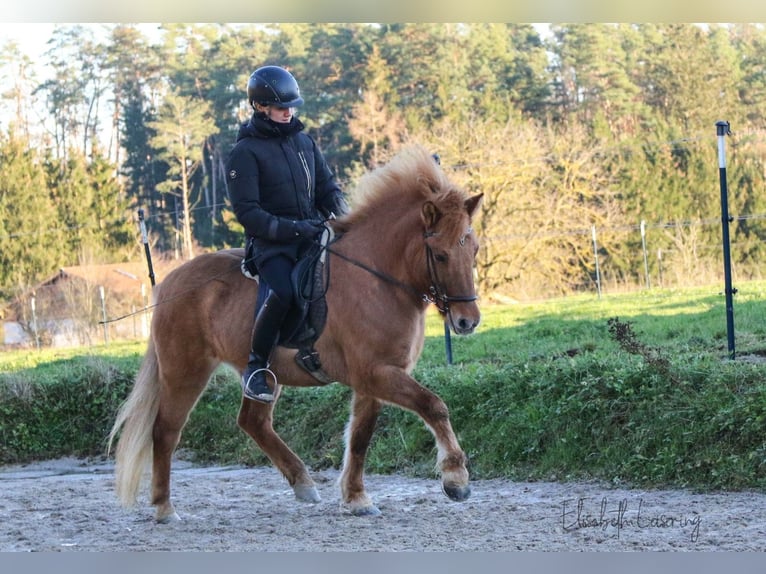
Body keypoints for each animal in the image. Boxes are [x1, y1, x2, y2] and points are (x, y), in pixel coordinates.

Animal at [108, 144, 484, 520]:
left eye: (474, 249)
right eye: (440, 255)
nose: (468, 321)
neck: (378, 279)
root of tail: (170, 283)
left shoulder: (374, 377)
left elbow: (360, 436)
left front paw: (356, 498)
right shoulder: (376, 372)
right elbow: (433, 405)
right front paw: (455, 478)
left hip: (262, 375)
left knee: (252, 421)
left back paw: (302, 482)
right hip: (184, 372)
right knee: (165, 431)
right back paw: (164, 507)